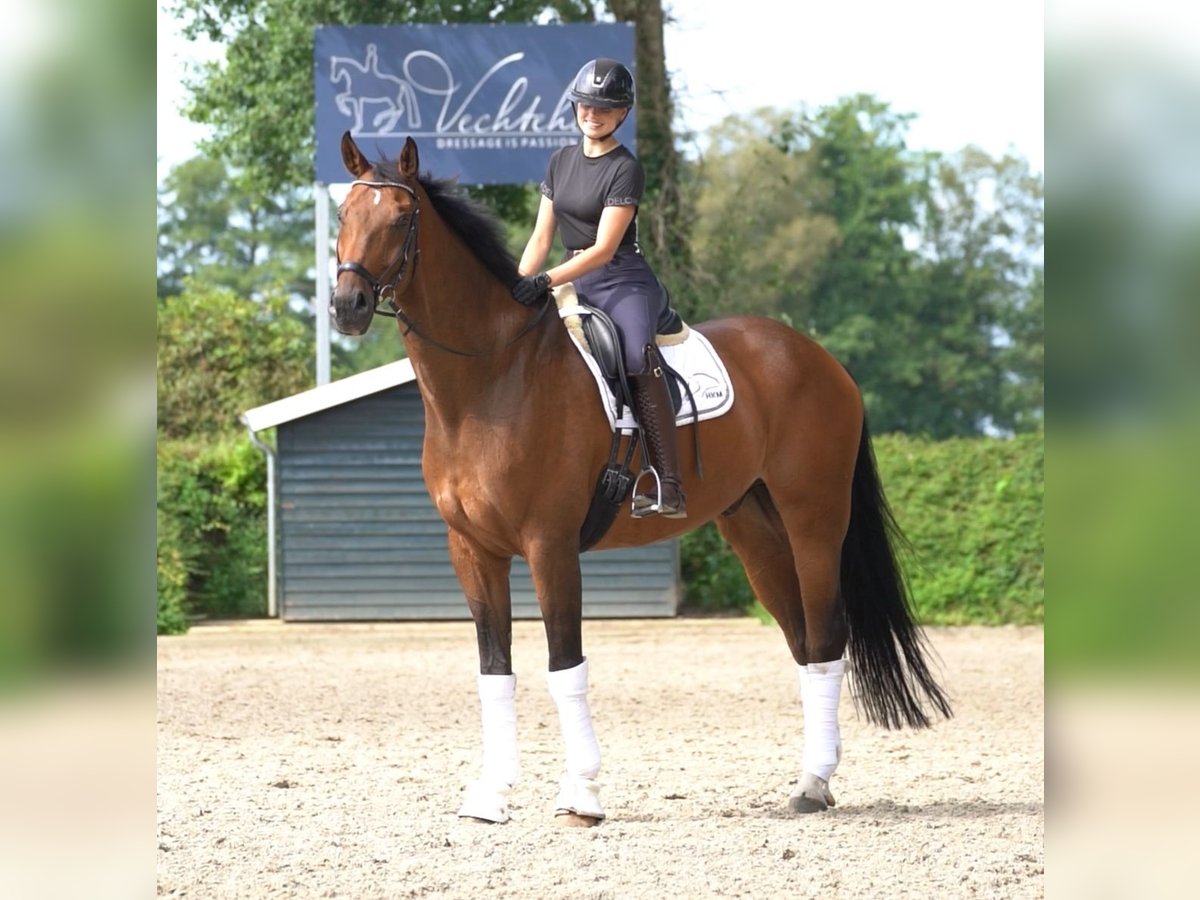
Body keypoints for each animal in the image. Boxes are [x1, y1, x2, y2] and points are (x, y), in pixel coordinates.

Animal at [328, 130, 945, 830]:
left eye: (402, 218)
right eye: (345, 213)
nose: (347, 307)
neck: (493, 379)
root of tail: (820, 359)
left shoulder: (549, 546)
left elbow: (564, 665)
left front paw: (582, 795)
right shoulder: (473, 551)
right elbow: (495, 670)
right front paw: (492, 795)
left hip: (814, 523)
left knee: (828, 635)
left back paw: (814, 783)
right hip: (756, 532)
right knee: (804, 641)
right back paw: (812, 781)